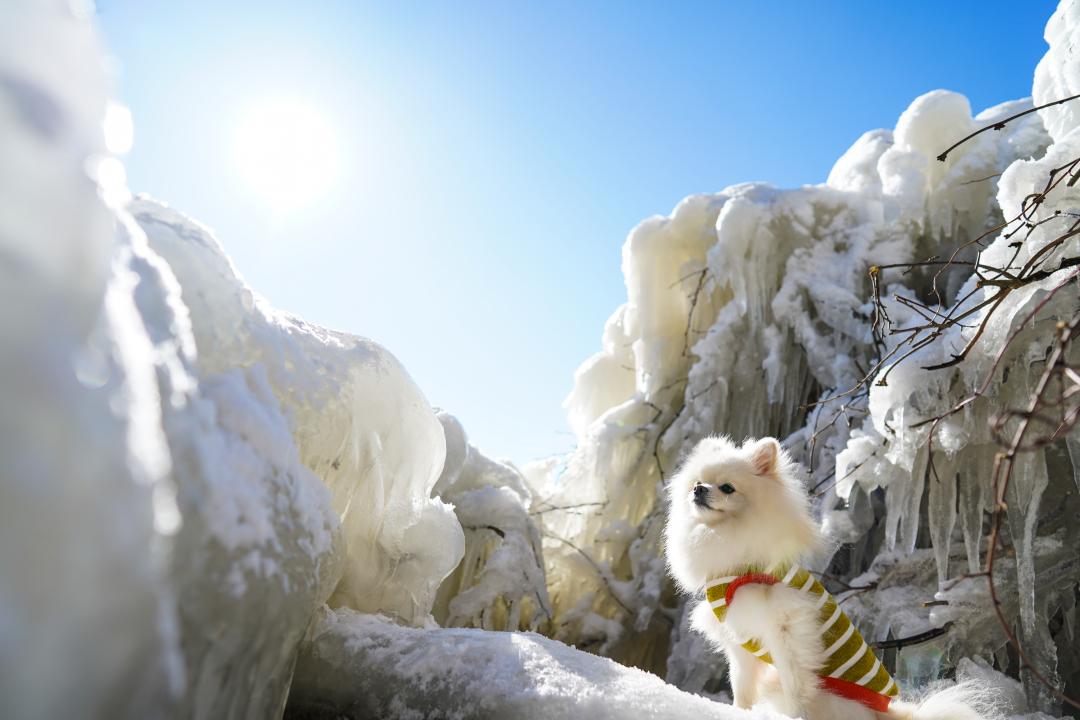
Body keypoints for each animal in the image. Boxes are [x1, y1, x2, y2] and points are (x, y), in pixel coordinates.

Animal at [660, 436, 997, 716]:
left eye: (727, 488)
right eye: (698, 482)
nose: (699, 490)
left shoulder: (785, 629)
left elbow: (795, 683)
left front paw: (795, 715)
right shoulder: (741, 640)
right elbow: (741, 686)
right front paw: (738, 712)